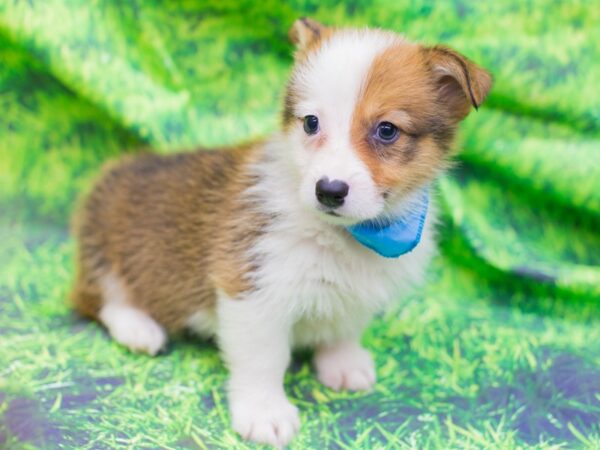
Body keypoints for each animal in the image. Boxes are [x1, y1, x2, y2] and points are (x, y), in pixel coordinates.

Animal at [71, 16, 492, 446]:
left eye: (387, 130)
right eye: (311, 123)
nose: (329, 190)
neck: (342, 235)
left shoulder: (355, 293)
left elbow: (344, 328)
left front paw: (342, 363)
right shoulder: (253, 289)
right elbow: (263, 360)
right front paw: (264, 414)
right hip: (103, 251)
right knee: (98, 299)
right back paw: (139, 329)